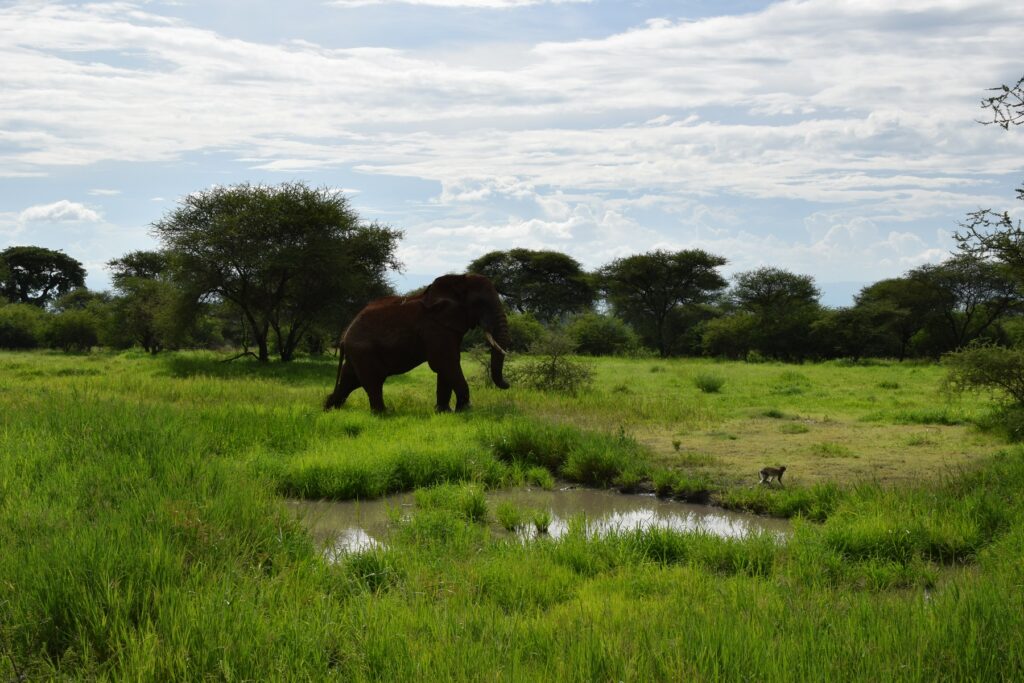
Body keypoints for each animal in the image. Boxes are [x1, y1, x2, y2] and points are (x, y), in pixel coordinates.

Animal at [324, 273, 512, 413]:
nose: (508, 384)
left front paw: (444, 412)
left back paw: (329, 409)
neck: (457, 280)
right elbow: (445, 362)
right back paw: (384, 414)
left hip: (357, 353)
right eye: (480, 303)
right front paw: (464, 411)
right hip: (363, 351)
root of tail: (344, 336)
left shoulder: (447, 326)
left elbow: (446, 365)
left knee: (350, 380)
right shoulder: (434, 328)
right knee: (373, 381)